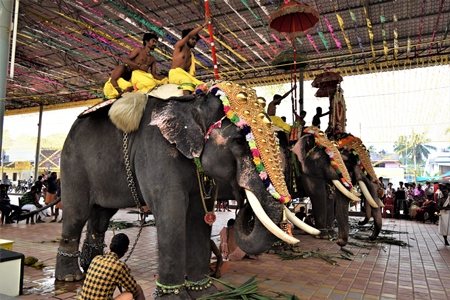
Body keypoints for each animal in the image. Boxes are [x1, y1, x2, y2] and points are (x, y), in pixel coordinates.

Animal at [53, 81, 310, 298]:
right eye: (239, 140)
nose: (242, 201)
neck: (194, 102)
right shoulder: (156, 149)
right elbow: (172, 210)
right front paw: (174, 297)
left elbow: (198, 215)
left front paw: (204, 293)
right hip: (72, 162)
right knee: (77, 214)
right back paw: (71, 277)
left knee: (101, 214)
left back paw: (89, 266)